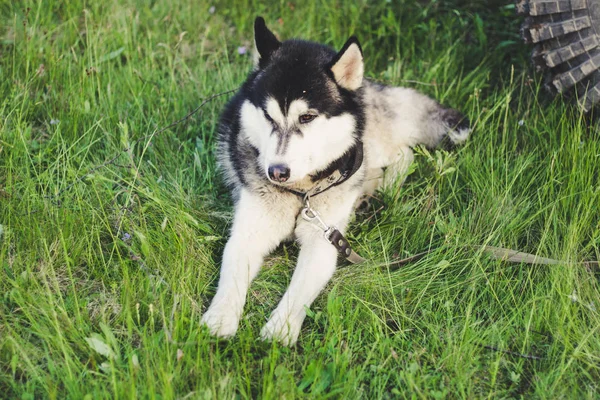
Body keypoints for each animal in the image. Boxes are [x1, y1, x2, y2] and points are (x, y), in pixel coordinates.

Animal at [202, 17, 468, 346]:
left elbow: (298, 291)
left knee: (402, 153)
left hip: (368, 141)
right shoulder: (249, 232)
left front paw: (280, 329)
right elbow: (232, 275)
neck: (302, 193)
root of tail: (370, 86)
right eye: (268, 116)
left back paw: (379, 189)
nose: (277, 172)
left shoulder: (324, 241)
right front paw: (219, 319)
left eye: (307, 117)